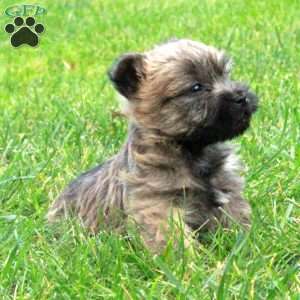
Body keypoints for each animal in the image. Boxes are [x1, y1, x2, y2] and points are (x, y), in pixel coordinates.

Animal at [47, 38, 258, 252]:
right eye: (196, 87)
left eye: (225, 74)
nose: (241, 97)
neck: (193, 150)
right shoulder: (158, 205)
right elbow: (174, 238)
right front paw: (190, 260)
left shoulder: (227, 190)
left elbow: (236, 217)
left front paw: (243, 243)